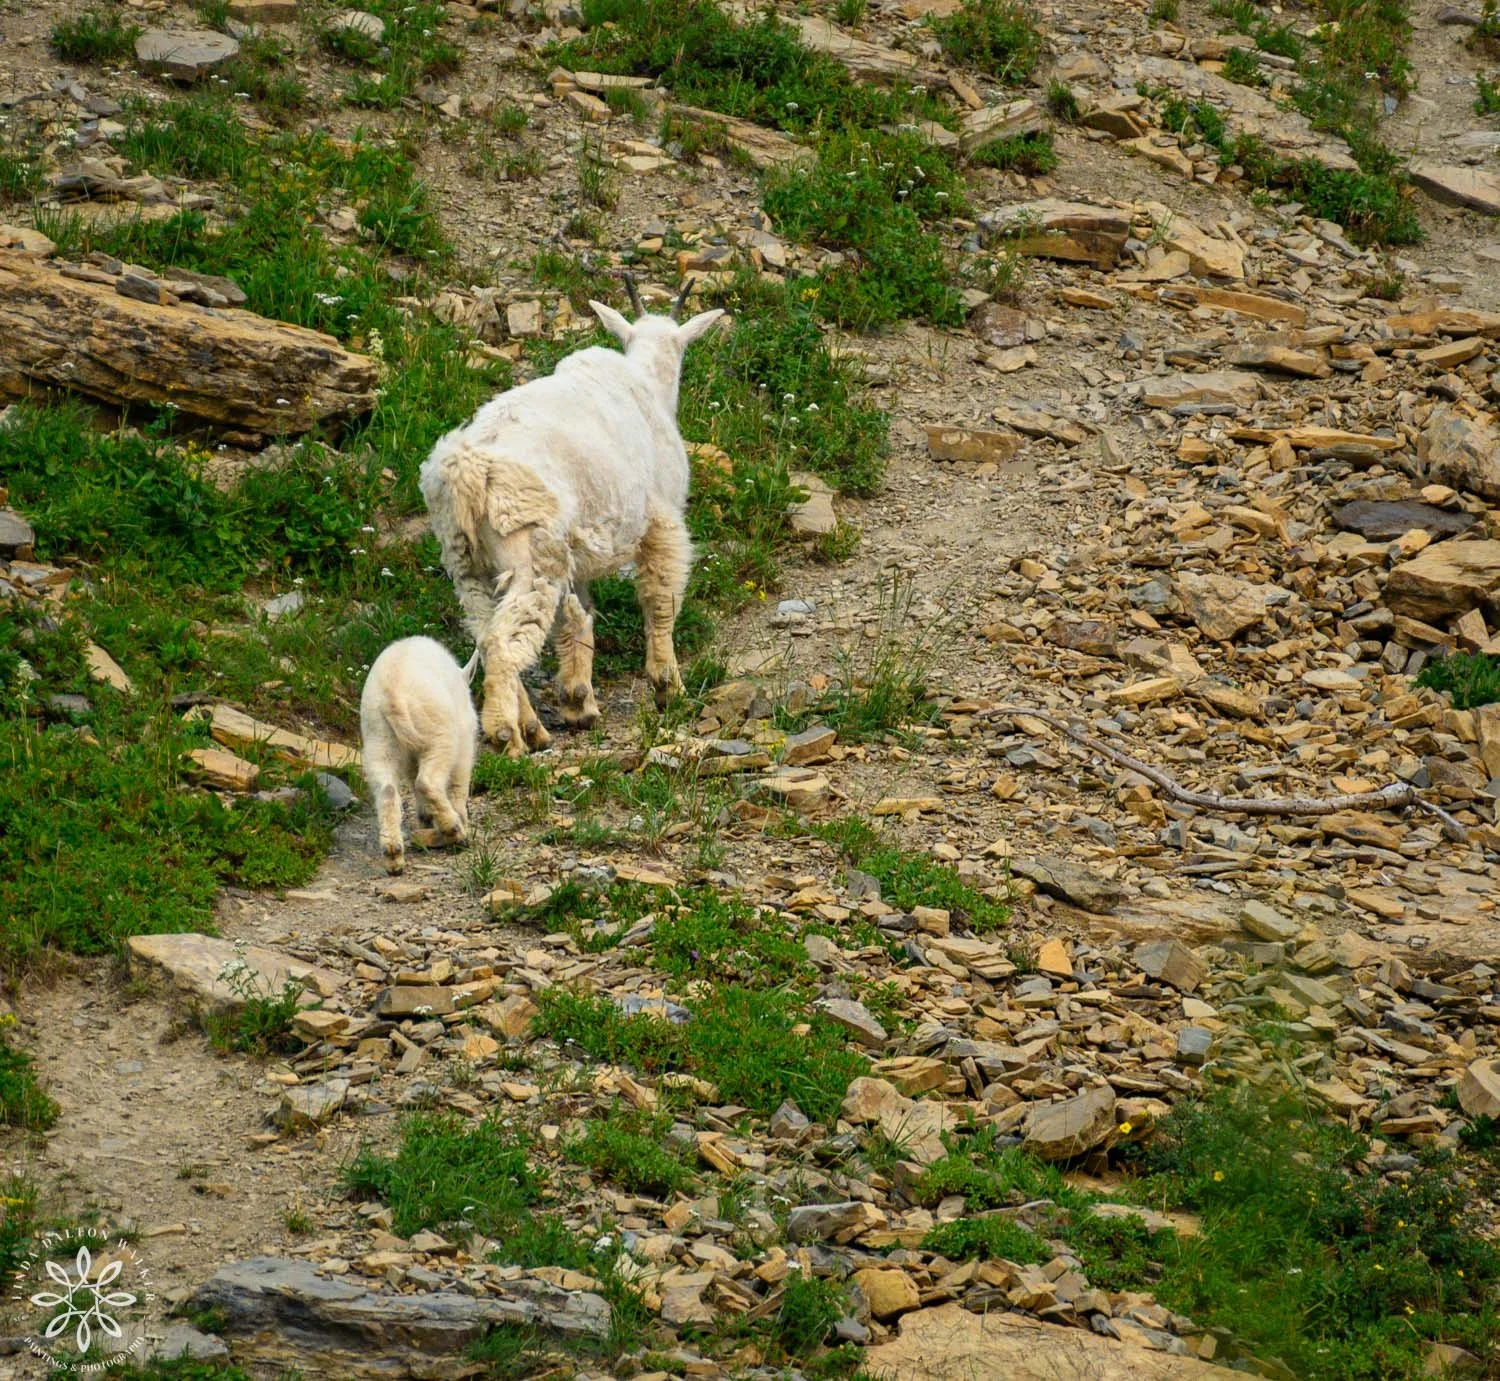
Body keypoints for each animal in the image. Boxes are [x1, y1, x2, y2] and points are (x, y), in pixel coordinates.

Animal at [359, 635, 479, 874]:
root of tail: (392, 695)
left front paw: (425, 818)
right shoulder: (464, 735)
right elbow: (459, 780)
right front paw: (459, 820)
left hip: (379, 735)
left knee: (387, 788)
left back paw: (393, 855)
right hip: (437, 728)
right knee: (427, 780)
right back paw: (454, 829)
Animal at [419, 278, 724, 756]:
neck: (645, 384)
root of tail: (464, 471)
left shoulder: (576, 550)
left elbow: (579, 615)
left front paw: (579, 701)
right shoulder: (662, 520)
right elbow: (660, 598)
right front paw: (667, 686)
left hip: (465, 560)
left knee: (487, 633)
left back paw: (531, 727)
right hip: (528, 550)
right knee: (505, 638)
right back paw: (506, 733)